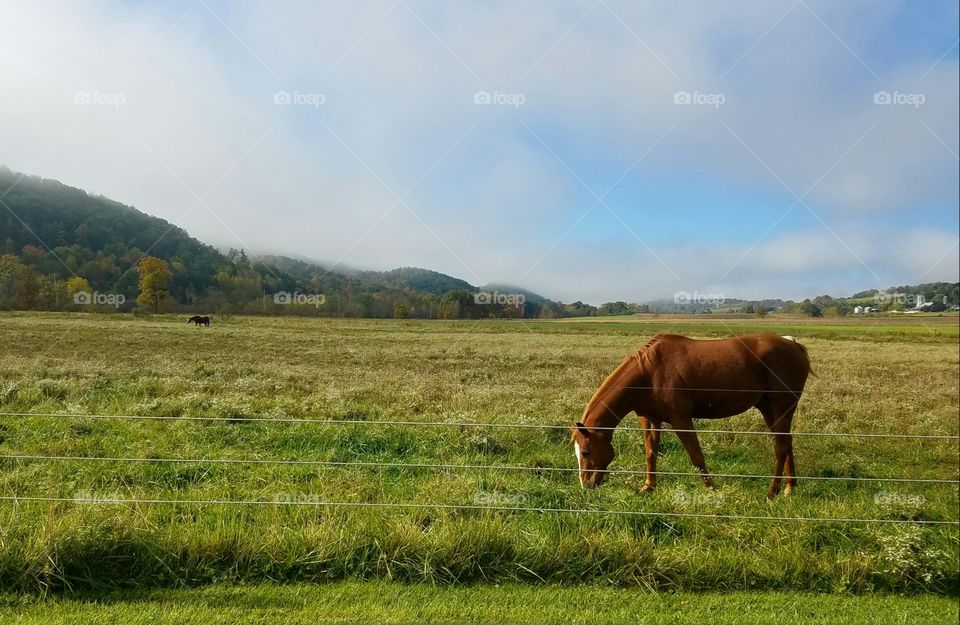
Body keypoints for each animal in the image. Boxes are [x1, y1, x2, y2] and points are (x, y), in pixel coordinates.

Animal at [571, 333, 812, 499]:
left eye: (586, 451)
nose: (586, 485)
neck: (649, 372)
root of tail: (793, 344)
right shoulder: (650, 418)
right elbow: (651, 453)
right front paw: (648, 486)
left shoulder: (681, 419)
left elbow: (696, 455)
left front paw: (712, 489)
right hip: (770, 410)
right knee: (787, 443)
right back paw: (790, 488)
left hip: (781, 407)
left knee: (780, 448)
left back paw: (771, 492)